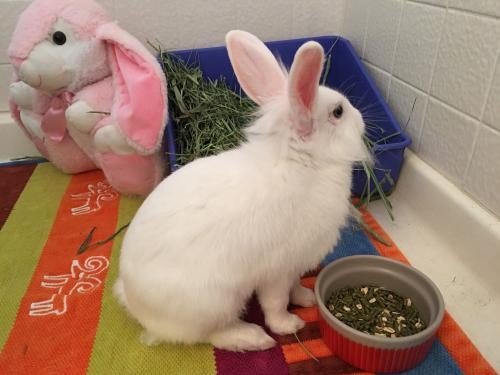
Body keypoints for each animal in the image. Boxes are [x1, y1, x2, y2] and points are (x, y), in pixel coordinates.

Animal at [114, 29, 372, 352]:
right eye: (338, 112)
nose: (361, 118)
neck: (302, 163)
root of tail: (136, 305)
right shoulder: (277, 270)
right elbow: (276, 303)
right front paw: (290, 324)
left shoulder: (294, 267)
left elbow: (294, 287)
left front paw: (307, 298)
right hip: (216, 301)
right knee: (210, 334)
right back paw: (254, 337)